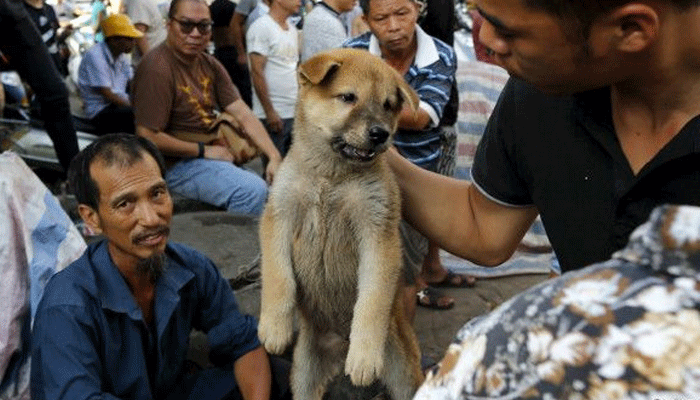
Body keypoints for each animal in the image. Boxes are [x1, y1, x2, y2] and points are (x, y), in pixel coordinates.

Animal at [258, 47, 422, 400]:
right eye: (348, 97)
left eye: (388, 105)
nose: (381, 134)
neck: (330, 176)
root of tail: (338, 345)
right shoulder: (278, 216)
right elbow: (279, 277)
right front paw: (274, 327)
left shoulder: (378, 233)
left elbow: (371, 301)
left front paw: (363, 356)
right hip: (304, 374)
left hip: (402, 371)